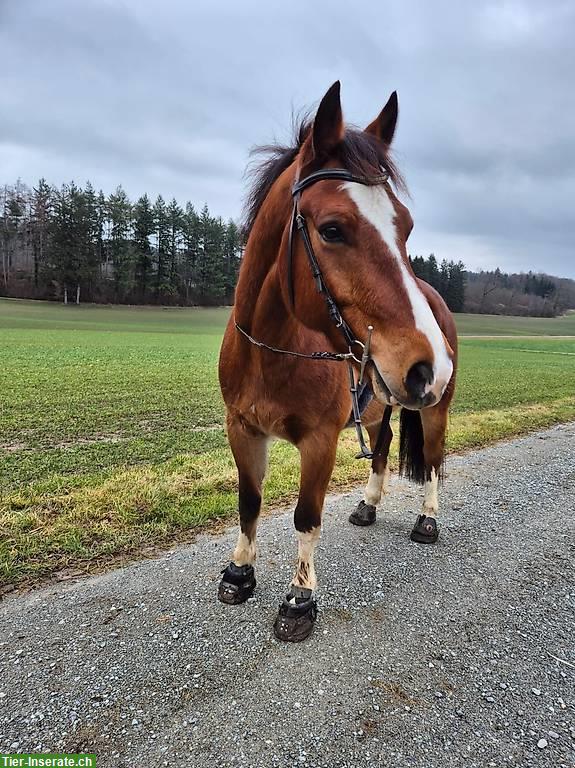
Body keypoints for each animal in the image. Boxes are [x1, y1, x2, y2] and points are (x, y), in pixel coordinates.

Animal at [218, 81, 456, 640]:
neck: (269, 351)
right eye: (330, 229)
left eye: (406, 226)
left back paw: (427, 519)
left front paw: (299, 599)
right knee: (385, 446)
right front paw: (239, 573)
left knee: (434, 460)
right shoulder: (241, 428)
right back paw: (369, 505)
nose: (429, 365)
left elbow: (307, 517)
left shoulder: (320, 441)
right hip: (384, 403)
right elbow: (248, 501)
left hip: (433, 409)